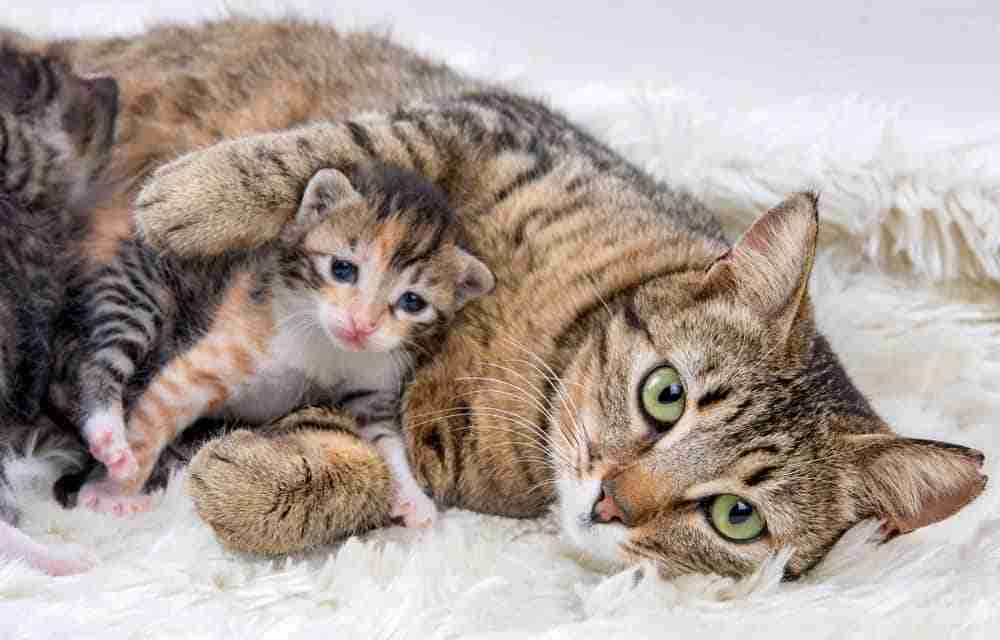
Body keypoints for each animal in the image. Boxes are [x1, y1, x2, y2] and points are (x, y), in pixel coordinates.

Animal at [45, 17, 984, 580]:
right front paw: (197, 194)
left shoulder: (381, 403)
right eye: (666, 394)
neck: (543, 358)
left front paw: (261, 482)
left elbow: (368, 454)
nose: (611, 502)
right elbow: (346, 142)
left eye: (735, 517)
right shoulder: (480, 124)